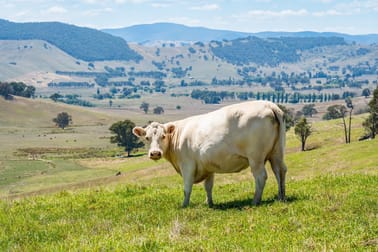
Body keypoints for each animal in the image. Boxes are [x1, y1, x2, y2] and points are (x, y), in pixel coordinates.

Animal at [132, 101, 286, 209]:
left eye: (163, 136)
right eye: (147, 138)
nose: (155, 153)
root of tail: (268, 104)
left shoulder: (187, 165)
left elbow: (187, 188)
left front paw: (184, 205)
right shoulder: (208, 167)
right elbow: (208, 187)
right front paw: (209, 203)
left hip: (256, 158)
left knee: (261, 177)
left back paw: (255, 201)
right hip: (276, 153)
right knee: (280, 171)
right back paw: (281, 196)